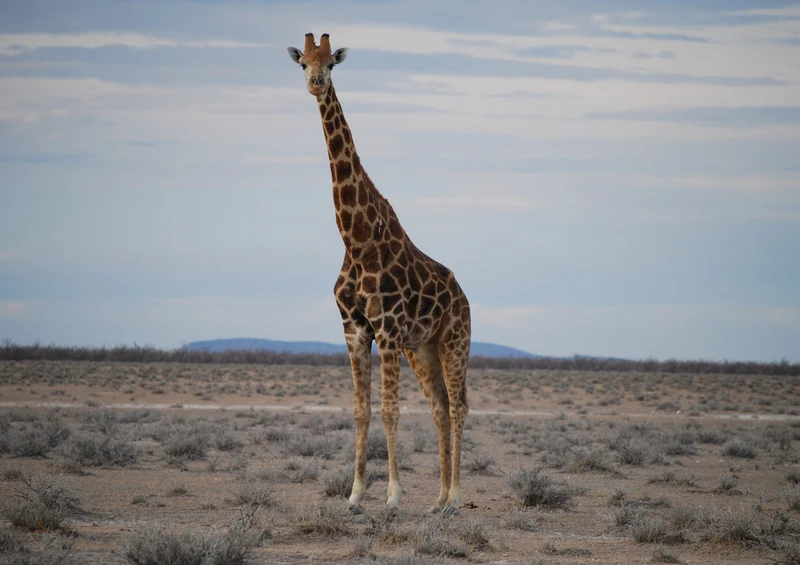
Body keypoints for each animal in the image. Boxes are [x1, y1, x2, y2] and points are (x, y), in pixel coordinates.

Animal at [288, 33, 471, 514]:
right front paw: (354, 495)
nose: (315, 83)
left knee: (459, 406)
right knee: (439, 408)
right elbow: (361, 410)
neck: (356, 240)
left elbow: (390, 409)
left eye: (332, 63)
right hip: (422, 348)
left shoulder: (386, 328)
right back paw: (438, 500)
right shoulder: (355, 330)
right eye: (303, 64)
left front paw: (393, 495)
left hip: (453, 340)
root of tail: (464, 296)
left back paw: (456, 497)